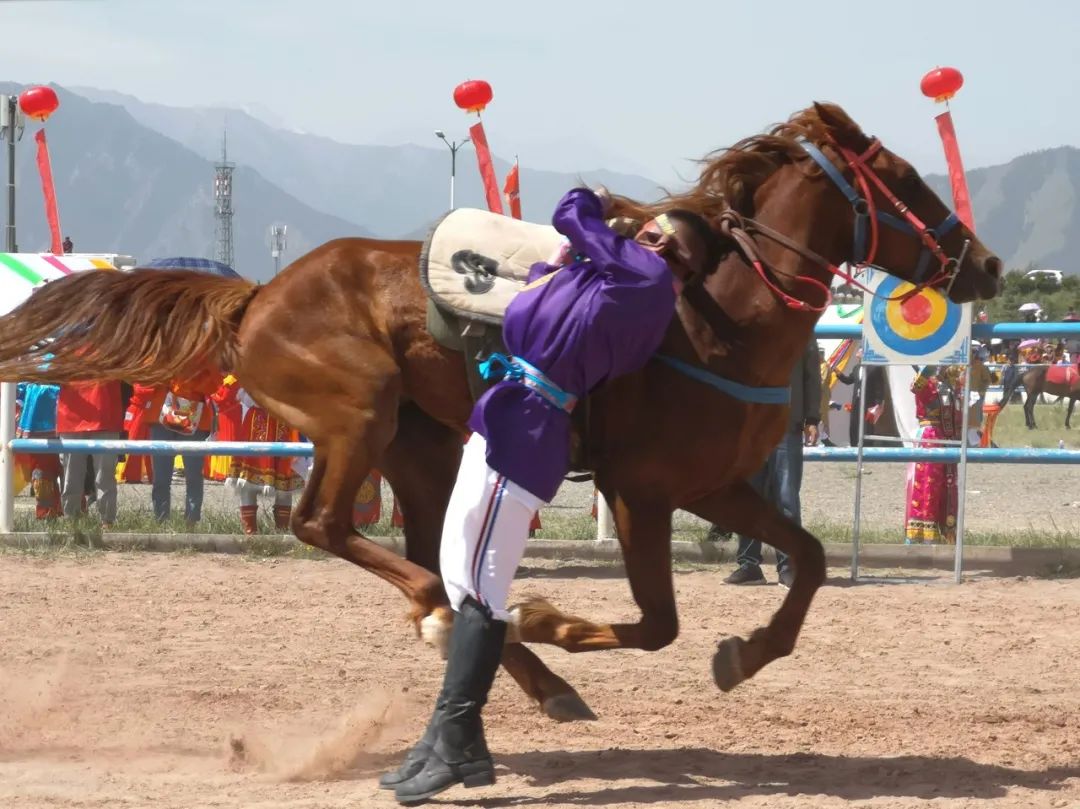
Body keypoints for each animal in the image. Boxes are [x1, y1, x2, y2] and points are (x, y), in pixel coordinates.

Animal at [0, 102, 997, 721]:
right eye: (909, 178)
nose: (982, 264)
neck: (714, 320)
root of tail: (256, 296)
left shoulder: (715, 484)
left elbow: (812, 557)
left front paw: (747, 652)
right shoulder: (641, 489)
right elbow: (657, 621)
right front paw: (553, 620)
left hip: (423, 446)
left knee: (418, 550)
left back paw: (515, 661)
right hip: (359, 414)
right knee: (322, 523)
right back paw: (476, 631)